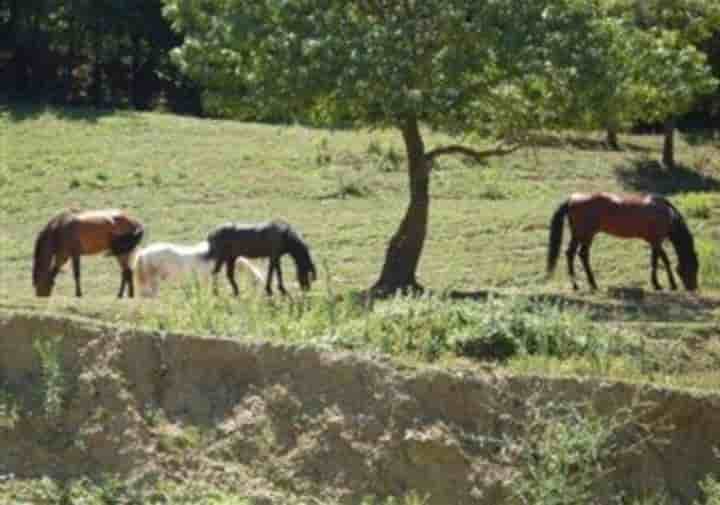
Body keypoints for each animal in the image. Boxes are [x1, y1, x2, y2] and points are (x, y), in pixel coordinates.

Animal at [544, 194, 696, 292]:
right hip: (585, 234)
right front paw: (663, 285)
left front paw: (660, 284)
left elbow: (657, 260)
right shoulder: (657, 241)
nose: (693, 288)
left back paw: (581, 285)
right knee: (581, 254)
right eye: (693, 267)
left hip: (580, 235)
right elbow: (662, 260)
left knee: (573, 254)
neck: (666, 213)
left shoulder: (654, 242)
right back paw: (586, 284)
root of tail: (572, 199)